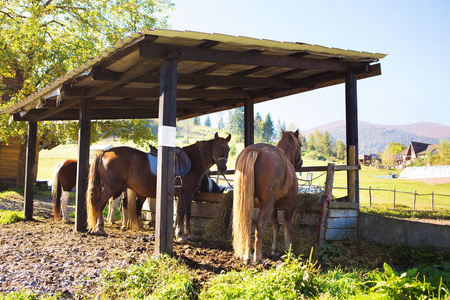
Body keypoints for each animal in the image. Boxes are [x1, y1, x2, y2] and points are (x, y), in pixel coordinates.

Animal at [86, 132, 232, 240]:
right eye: (216, 148)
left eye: (228, 149)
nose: (223, 168)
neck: (193, 161)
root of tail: (105, 153)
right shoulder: (183, 194)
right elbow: (180, 213)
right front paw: (179, 235)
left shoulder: (189, 195)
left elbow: (187, 214)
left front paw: (189, 234)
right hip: (111, 188)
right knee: (99, 203)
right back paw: (100, 228)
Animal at [232, 130, 302, 264]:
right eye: (300, 144)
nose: (300, 162)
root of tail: (255, 149)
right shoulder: (290, 205)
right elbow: (287, 226)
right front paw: (288, 251)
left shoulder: (273, 208)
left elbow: (275, 226)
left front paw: (275, 251)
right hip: (266, 204)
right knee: (260, 225)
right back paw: (258, 257)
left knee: (248, 225)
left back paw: (247, 256)